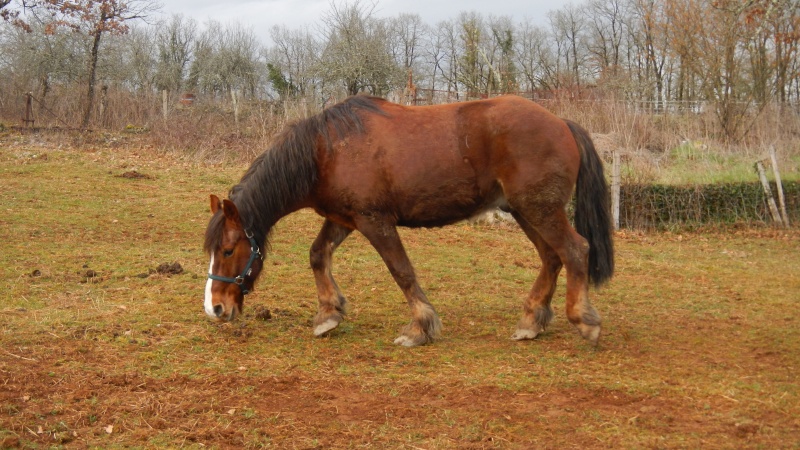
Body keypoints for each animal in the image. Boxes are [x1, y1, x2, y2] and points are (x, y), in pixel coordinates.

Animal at [203, 95, 616, 346]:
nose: (215, 309)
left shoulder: (374, 221)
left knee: (575, 251)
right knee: (551, 257)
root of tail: (561, 122)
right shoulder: (345, 219)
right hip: (526, 211)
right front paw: (328, 314)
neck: (326, 151)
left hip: (540, 210)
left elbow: (401, 271)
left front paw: (420, 327)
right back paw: (531, 321)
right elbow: (318, 255)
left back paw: (584, 320)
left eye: (228, 250)